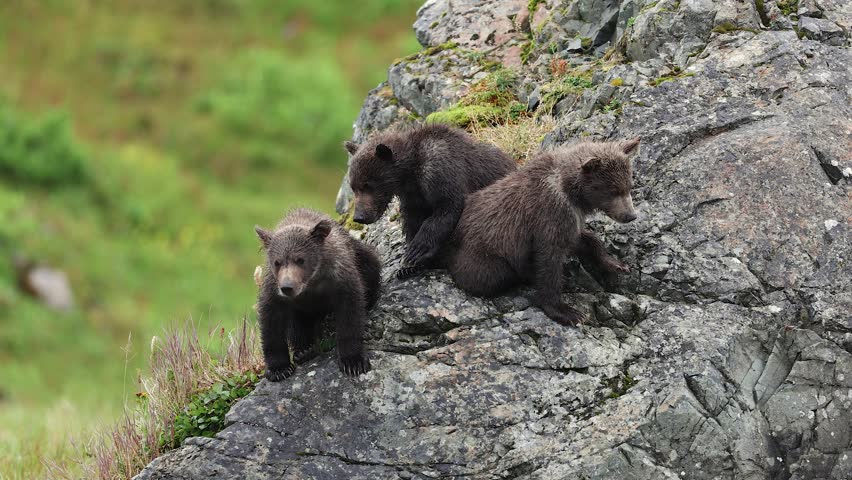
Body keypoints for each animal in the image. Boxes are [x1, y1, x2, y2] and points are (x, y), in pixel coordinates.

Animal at [254, 208, 381, 380]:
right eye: (277, 262)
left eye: (300, 259)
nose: (287, 287)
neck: (311, 283)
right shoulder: (274, 291)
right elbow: (271, 323)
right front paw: (279, 368)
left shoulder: (341, 278)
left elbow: (350, 315)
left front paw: (353, 361)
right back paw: (304, 351)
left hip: (361, 256)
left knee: (372, 265)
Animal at [344, 123, 516, 278]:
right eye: (353, 187)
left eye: (368, 185)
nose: (359, 217)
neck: (410, 173)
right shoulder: (412, 196)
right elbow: (413, 219)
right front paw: (408, 266)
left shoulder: (441, 169)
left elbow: (447, 206)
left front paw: (416, 252)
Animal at [446, 138, 640, 326]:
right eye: (613, 190)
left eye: (629, 185)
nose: (630, 216)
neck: (571, 190)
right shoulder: (549, 213)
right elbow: (549, 261)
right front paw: (567, 312)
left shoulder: (570, 219)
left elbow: (582, 239)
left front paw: (616, 264)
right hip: (483, 255)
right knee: (496, 275)